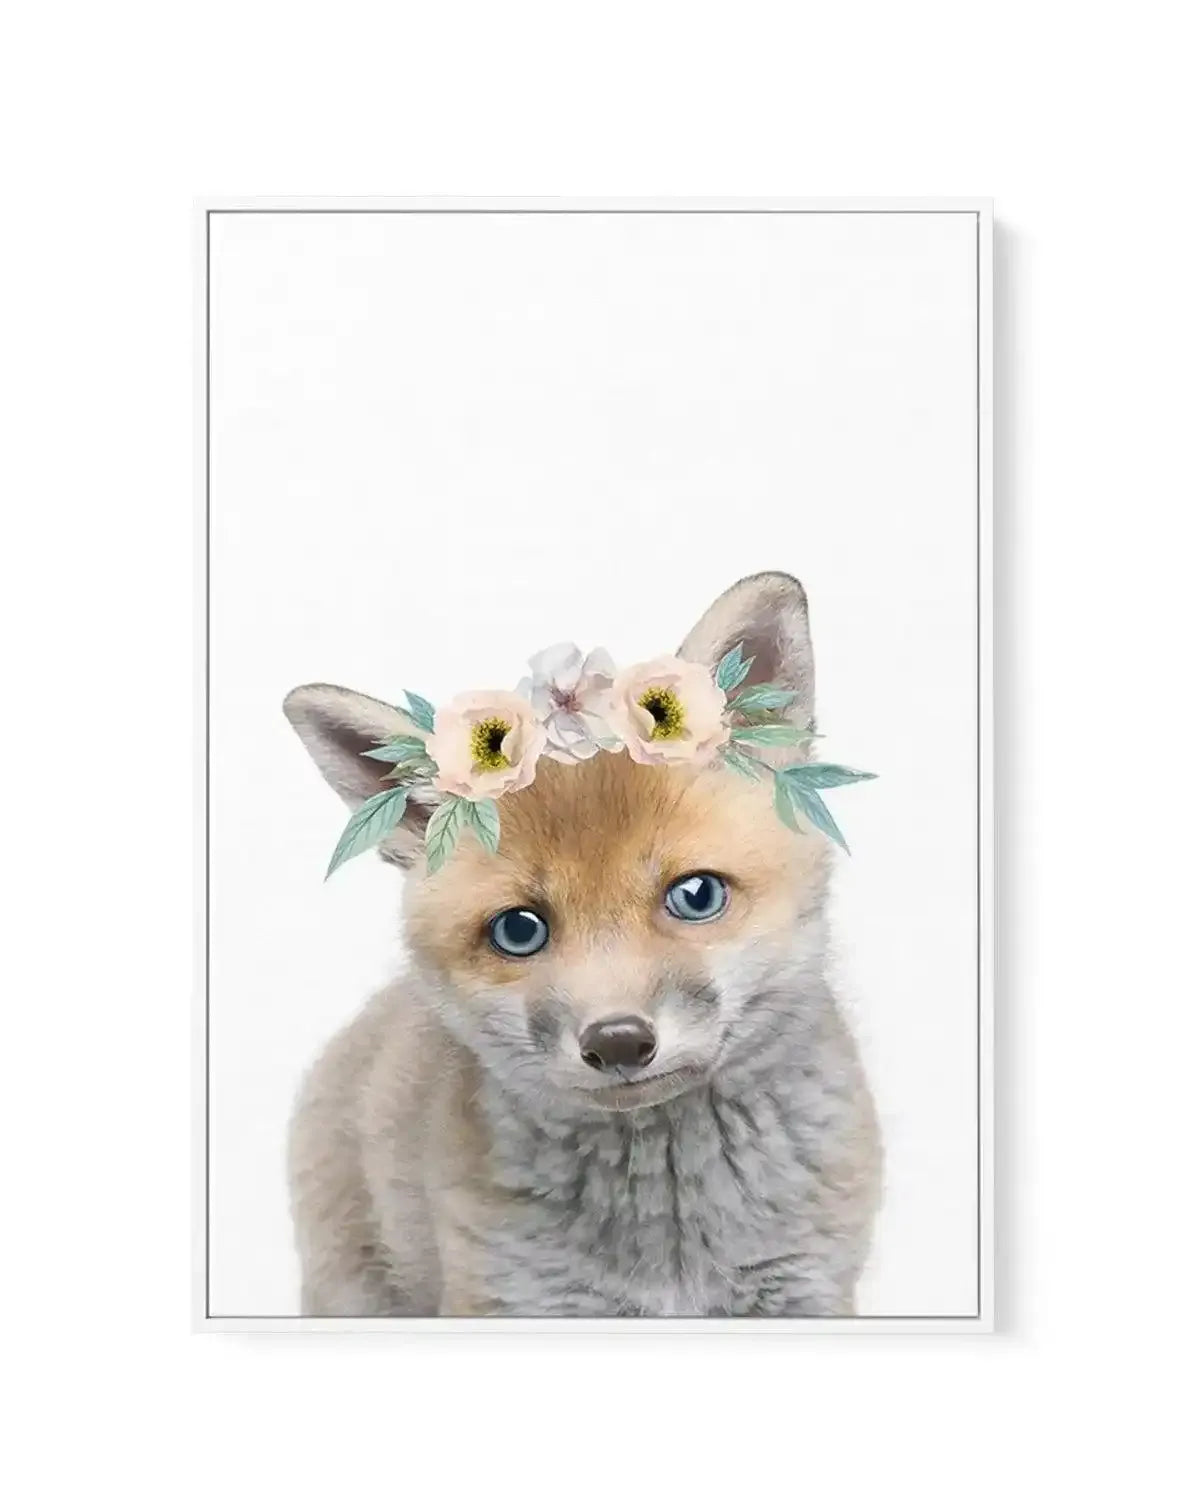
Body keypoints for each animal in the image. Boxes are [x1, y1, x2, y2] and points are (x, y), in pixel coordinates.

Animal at [283, 571, 881, 1317]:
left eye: (697, 896)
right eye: (519, 930)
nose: (618, 1043)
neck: (671, 1244)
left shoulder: (804, 1289)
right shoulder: (514, 1298)